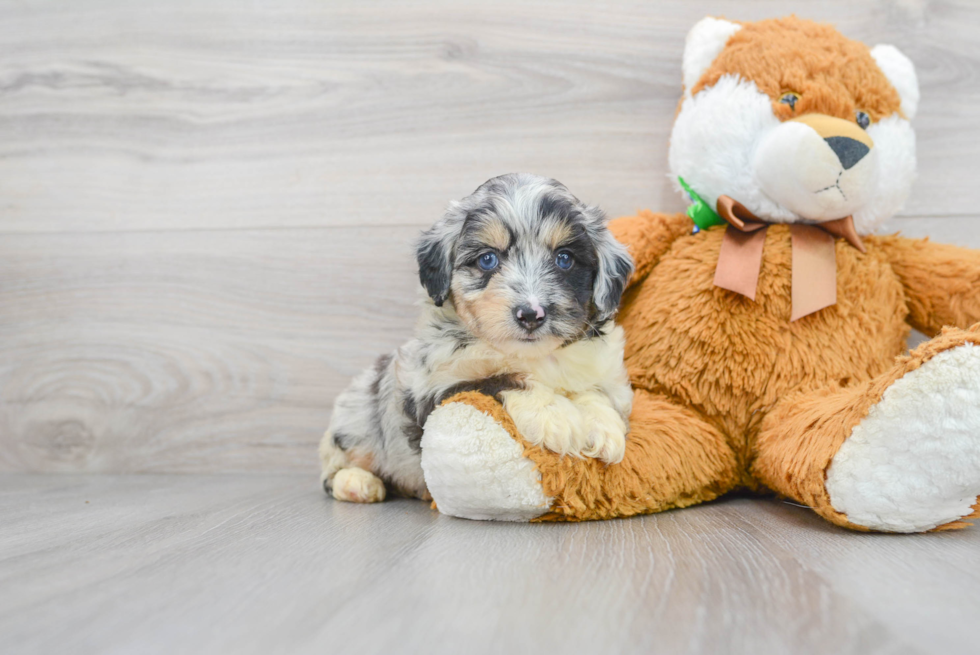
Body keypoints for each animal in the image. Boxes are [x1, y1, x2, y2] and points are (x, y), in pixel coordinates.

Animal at [318, 173, 632, 502]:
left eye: (564, 258)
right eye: (488, 259)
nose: (531, 314)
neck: (534, 356)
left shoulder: (606, 373)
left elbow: (596, 392)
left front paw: (603, 428)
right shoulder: (436, 388)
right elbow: (499, 379)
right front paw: (558, 417)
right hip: (357, 418)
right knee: (334, 466)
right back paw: (357, 482)